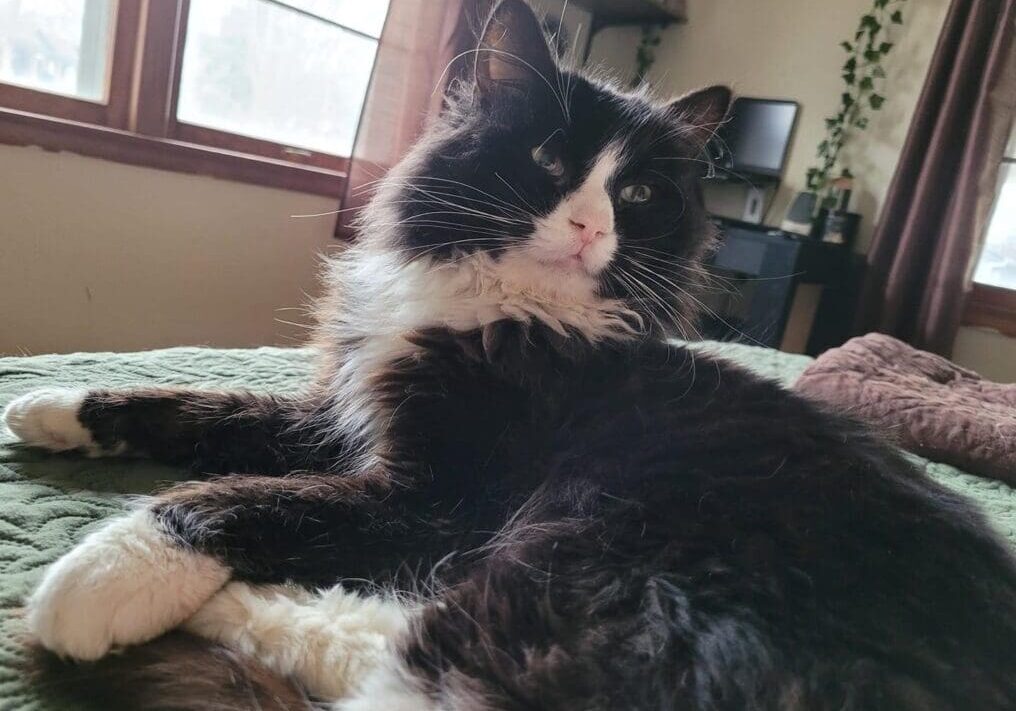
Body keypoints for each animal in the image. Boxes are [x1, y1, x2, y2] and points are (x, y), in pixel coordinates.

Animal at [7, 2, 1016, 706]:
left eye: (637, 193)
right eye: (547, 160)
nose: (589, 225)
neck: (509, 309)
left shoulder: (434, 498)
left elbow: (237, 495)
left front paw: (104, 570)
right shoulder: (342, 411)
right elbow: (204, 409)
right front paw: (53, 405)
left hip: (579, 569)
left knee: (402, 652)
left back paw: (195, 610)